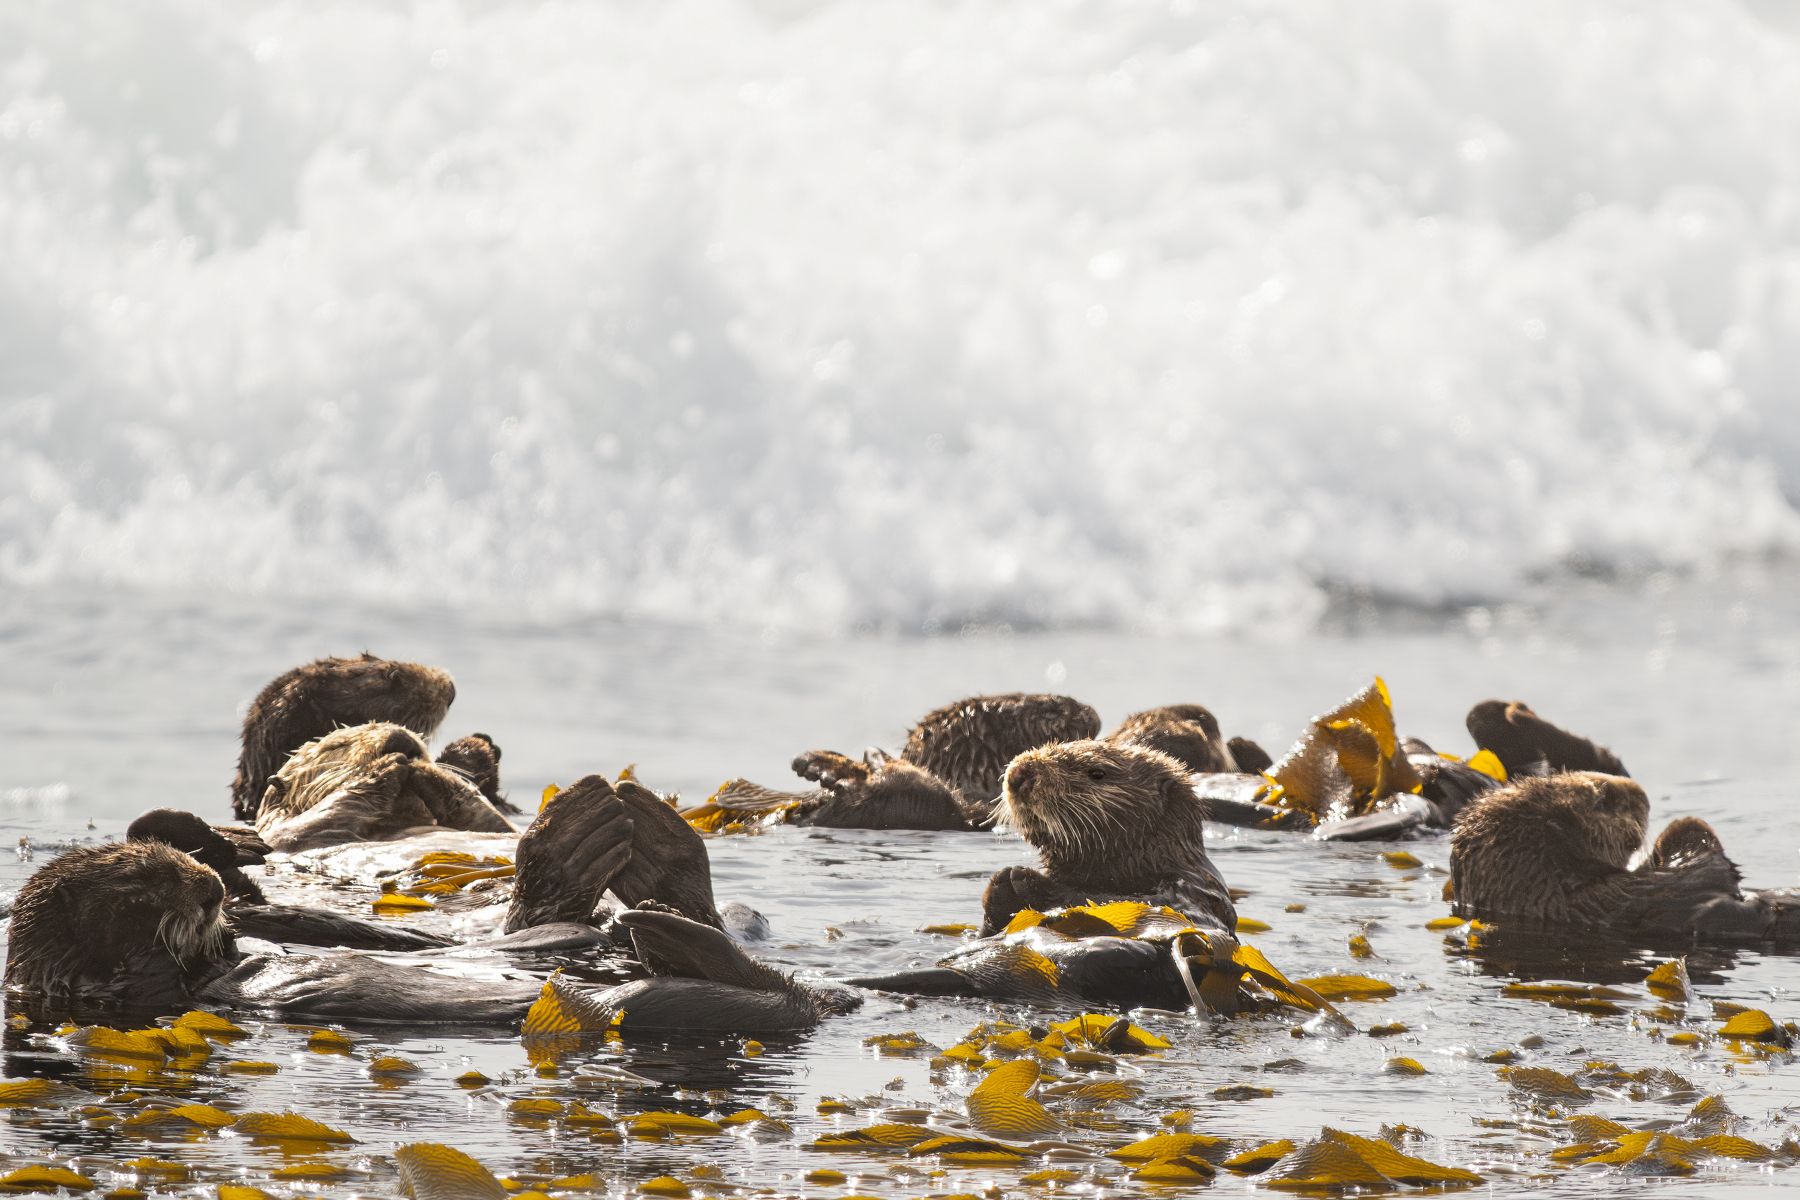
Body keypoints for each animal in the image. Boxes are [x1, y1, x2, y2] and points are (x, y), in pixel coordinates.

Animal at [255, 722, 514, 852]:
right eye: (336, 745)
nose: (399, 736)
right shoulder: (286, 838)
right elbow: (301, 829)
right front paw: (384, 767)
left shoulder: (492, 826)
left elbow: (494, 823)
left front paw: (426, 768)